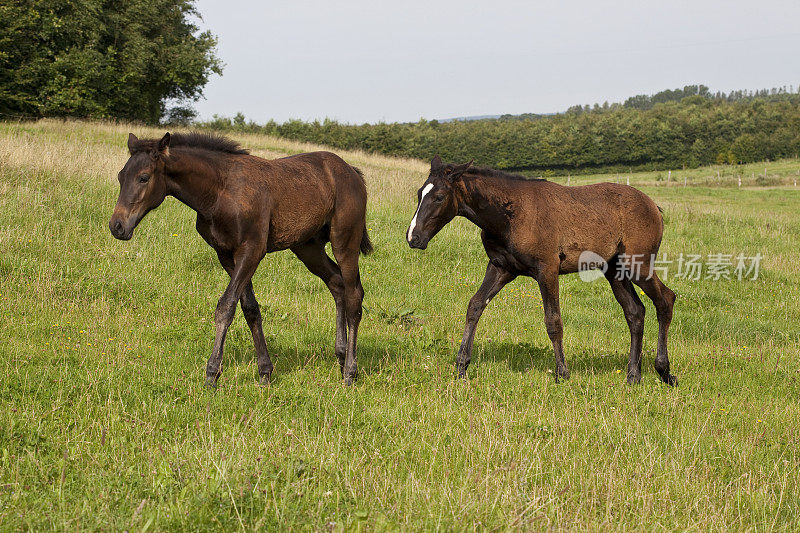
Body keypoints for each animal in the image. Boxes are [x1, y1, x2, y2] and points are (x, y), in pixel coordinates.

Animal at [109, 132, 372, 386]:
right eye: (121, 176)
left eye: (143, 178)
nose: (117, 226)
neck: (221, 191)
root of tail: (353, 173)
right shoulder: (226, 254)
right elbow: (250, 308)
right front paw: (265, 373)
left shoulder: (252, 250)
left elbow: (226, 306)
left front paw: (212, 374)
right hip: (308, 247)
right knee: (336, 283)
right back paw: (341, 356)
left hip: (345, 241)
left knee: (354, 295)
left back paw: (350, 372)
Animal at [410, 156, 680, 384]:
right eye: (419, 193)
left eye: (439, 196)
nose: (413, 237)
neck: (510, 215)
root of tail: (654, 207)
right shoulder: (501, 267)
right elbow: (475, 305)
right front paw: (461, 367)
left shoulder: (547, 269)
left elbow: (553, 321)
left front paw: (562, 374)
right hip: (615, 270)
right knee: (635, 312)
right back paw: (633, 375)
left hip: (638, 264)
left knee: (666, 299)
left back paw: (664, 371)